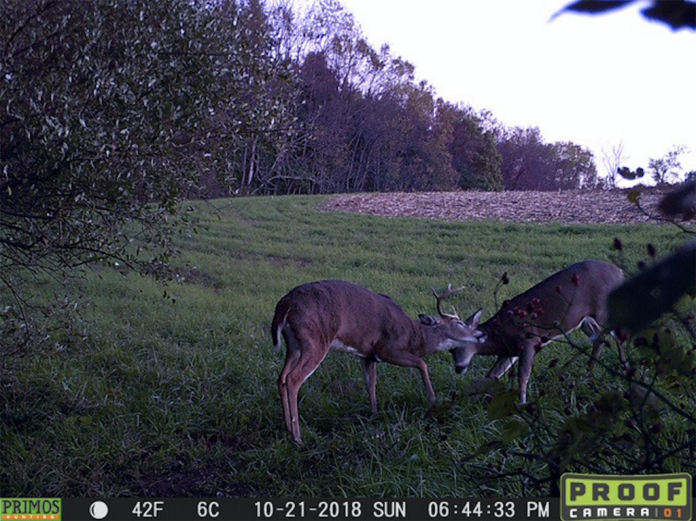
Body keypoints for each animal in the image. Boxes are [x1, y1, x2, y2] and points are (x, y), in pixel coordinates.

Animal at [271, 280, 484, 446]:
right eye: (459, 323)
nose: (480, 334)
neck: (413, 337)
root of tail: (284, 305)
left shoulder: (367, 355)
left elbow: (371, 383)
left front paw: (374, 414)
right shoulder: (388, 348)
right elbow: (422, 363)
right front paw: (432, 400)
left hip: (293, 346)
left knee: (281, 377)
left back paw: (287, 428)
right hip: (315, 341)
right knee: (293, 378)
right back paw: (297, 438)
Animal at [452, 260, 626, 404]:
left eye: (463, 341)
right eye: (450, 348)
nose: (458, 368)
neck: (500, 334)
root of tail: (619, 271)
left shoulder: (529, 341)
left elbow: (523, 376)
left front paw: (522, 404)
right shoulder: (509, 352)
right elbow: (492, 375)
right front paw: (473, 401)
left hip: (604, 311)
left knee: (619, 336)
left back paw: (624, 368)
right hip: (583, 319)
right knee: (600, 337)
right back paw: (588, 373)